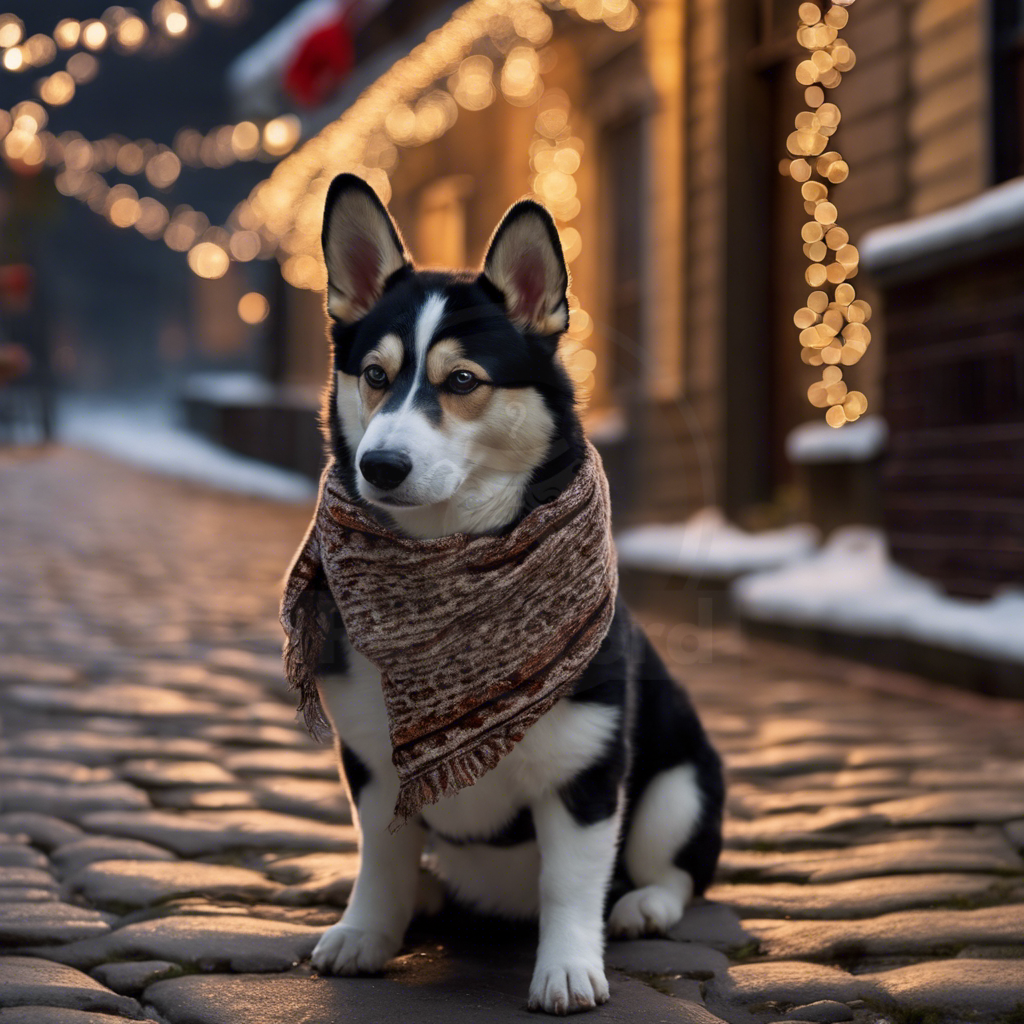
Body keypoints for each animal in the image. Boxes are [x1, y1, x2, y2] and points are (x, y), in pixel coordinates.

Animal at [303, 172, 729, 1011]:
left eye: (462, 380)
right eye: (375, 376)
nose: (380, 466)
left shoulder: (584, 769)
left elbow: (570, 883)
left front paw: (567, 968)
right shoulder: (370, 762)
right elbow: (381, 860)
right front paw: (368, 932)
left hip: (682, 784)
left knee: (674, 869)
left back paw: (643, 906)